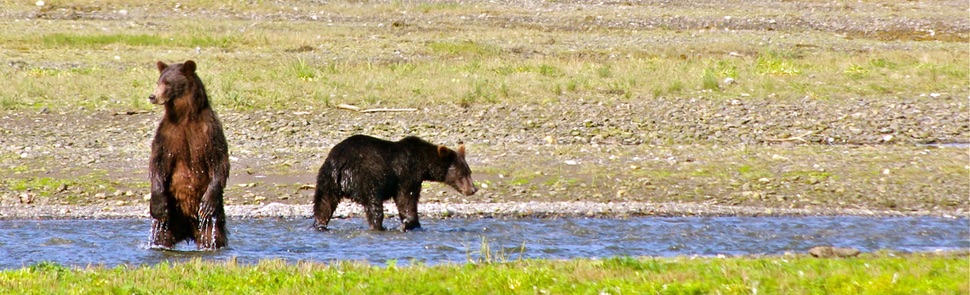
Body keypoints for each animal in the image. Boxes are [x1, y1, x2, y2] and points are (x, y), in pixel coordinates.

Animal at [147, 61, 230, 251]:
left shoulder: (210, 132)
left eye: (168, 83)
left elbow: (220, 160)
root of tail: (187, 230)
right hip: (171, 215)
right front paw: (157, 203)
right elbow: (157, 162)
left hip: (210, 221)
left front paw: (208, 203)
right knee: (161, 233)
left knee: (213, 233)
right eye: (158, 81)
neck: (185, 117)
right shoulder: (167, 135)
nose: (152, 96)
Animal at [316, 135, 478, 232]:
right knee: (374, 205)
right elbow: (406, 199)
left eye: (469, 172)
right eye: (461, 174)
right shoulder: (407, 174)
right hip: (365, 177)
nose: (473, 189)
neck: (423, 164)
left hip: (327, 177)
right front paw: (411, 223)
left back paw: (320, 225)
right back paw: (378, 226)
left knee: (323, 203)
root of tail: (341, 163)